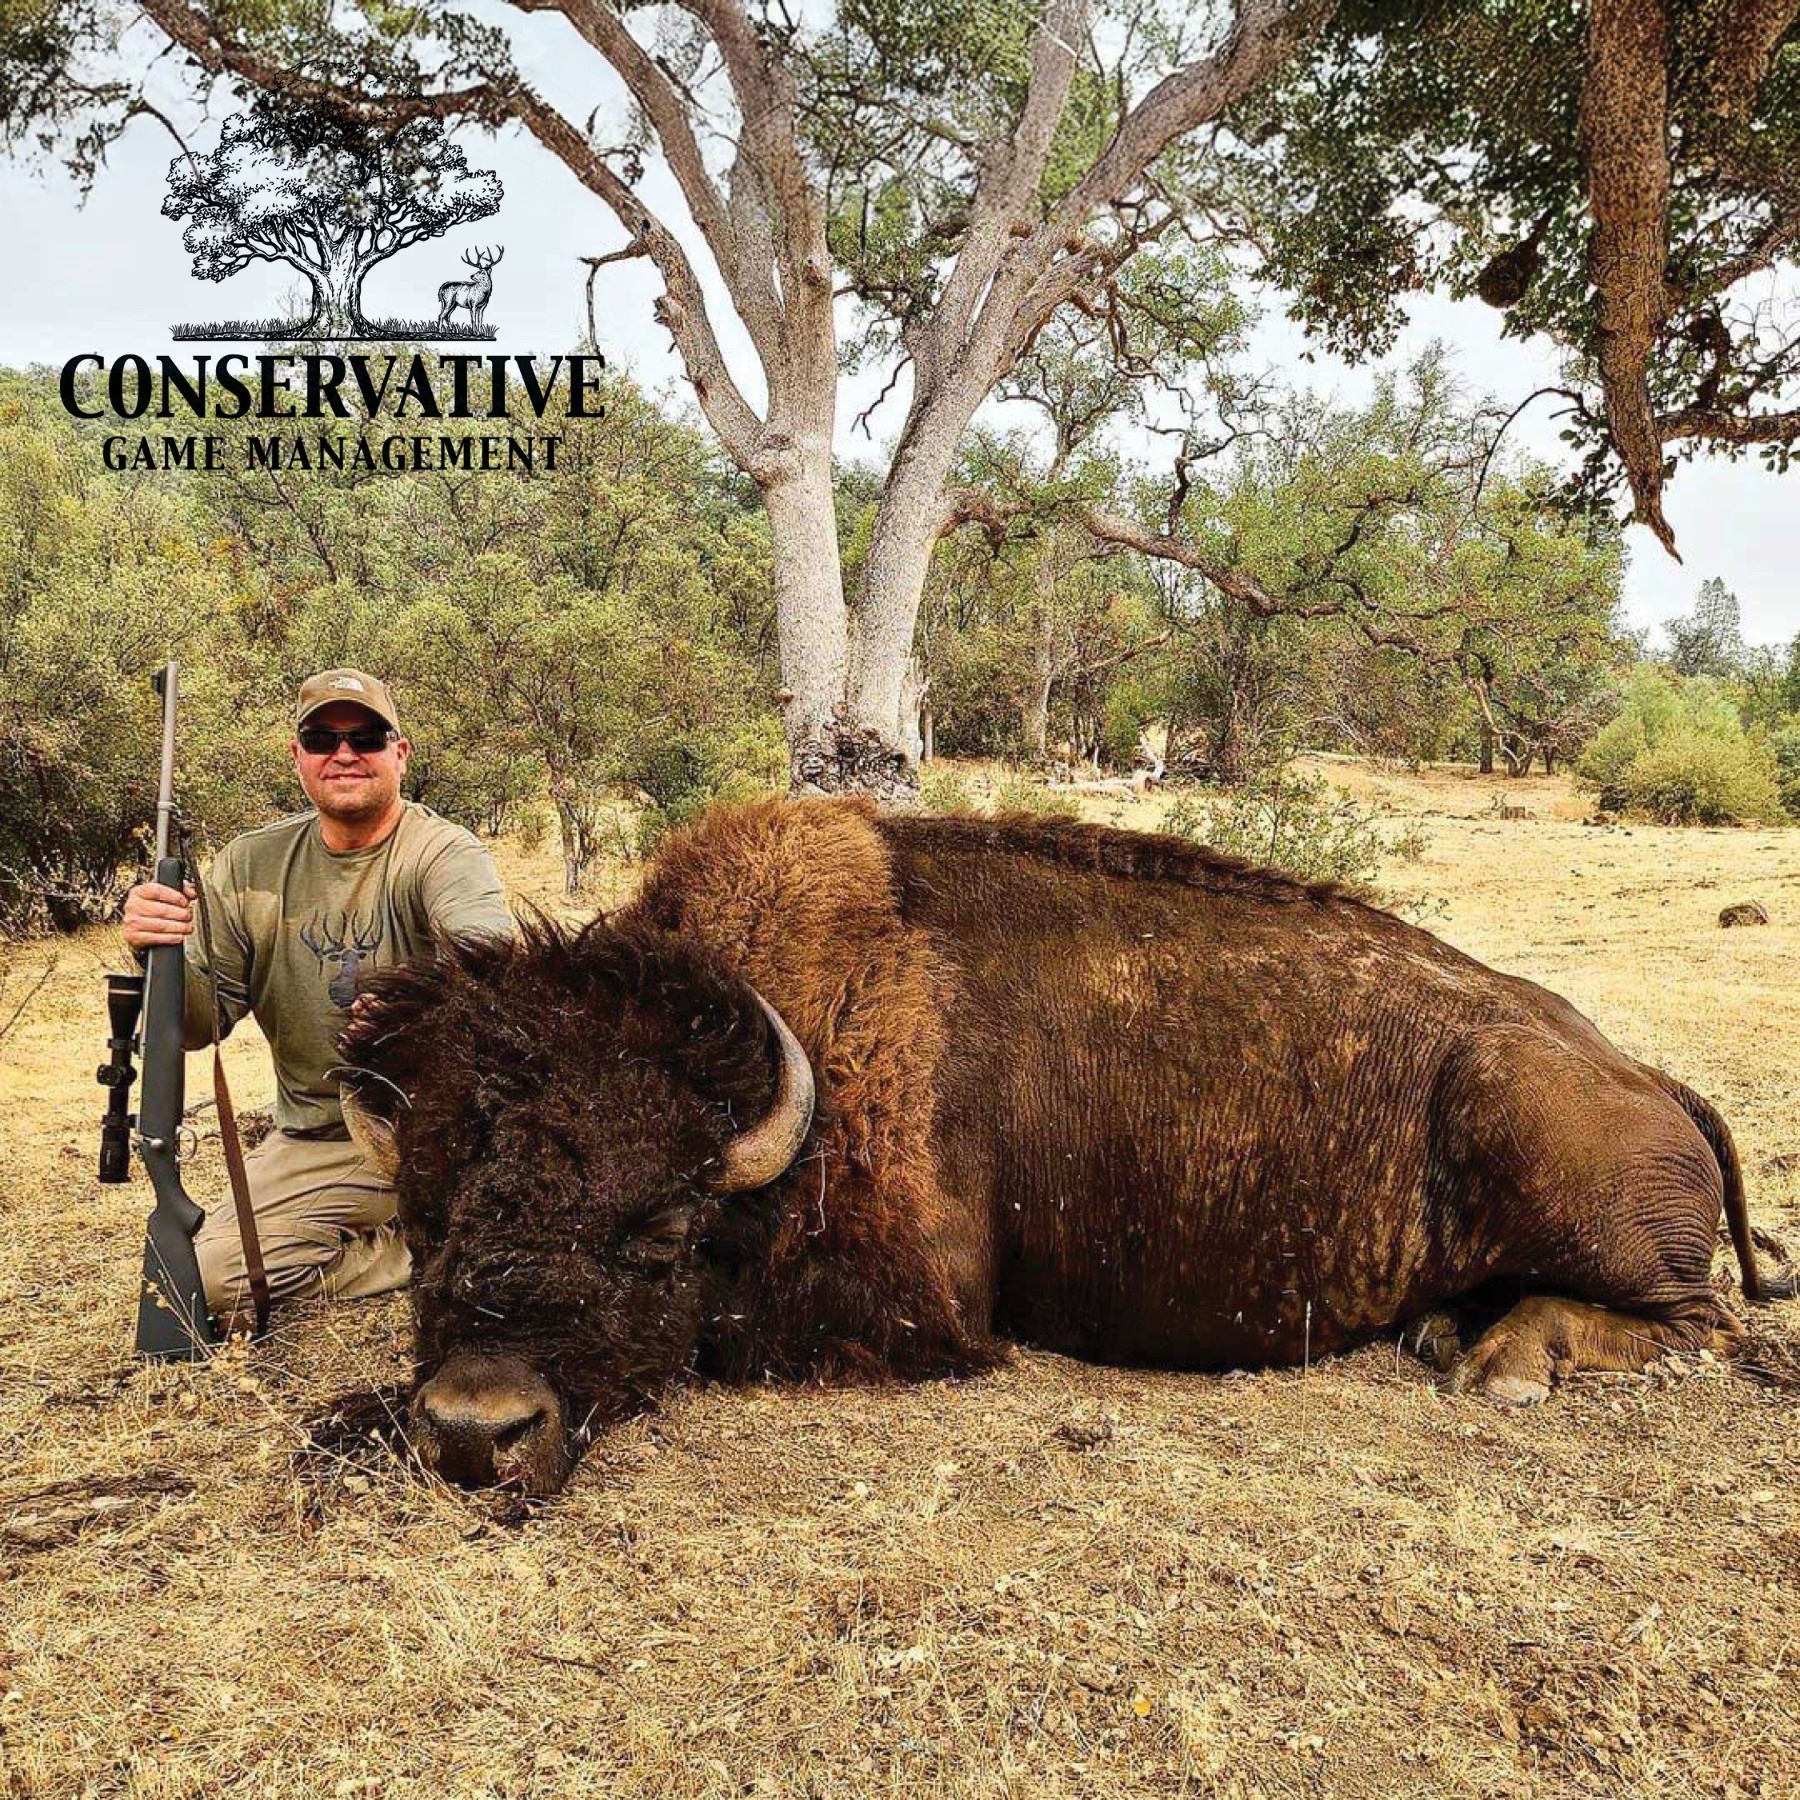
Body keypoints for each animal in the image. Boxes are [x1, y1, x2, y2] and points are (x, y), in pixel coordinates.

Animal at [337, 798, 1788, 1495]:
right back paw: (1450, 1330)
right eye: (430, 1224)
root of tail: (1646, 1073)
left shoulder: (905, 1316)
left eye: (657, 1234)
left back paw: (1502, 1363)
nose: (475, 1431)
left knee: (1704, 1321)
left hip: (1533, 1135)